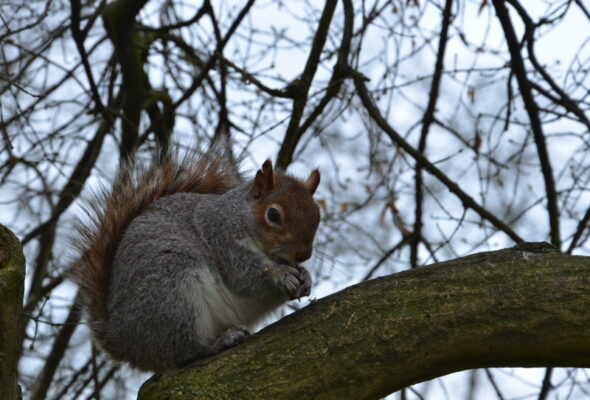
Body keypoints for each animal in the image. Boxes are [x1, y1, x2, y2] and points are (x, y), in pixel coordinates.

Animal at [71, 151, 322, 372]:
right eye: (273, 215)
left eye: (317, 215)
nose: (303, 255)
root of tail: (120, 340)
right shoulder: (222, 239)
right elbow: (243, 276)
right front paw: (281, 275)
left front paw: (305, 277)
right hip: (173, 292)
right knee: (185, 351)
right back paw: (219, 342)